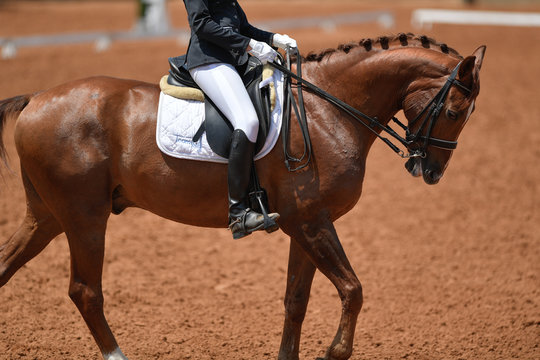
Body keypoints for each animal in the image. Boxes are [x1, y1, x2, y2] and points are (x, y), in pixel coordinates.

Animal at [0, 34, 488, 360]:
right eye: (454, 111)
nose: (431, 172)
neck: (327, 109)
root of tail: (36, 99)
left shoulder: (307, 223)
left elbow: (296, 301)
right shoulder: (311, 222)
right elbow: (353, 289)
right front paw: (335, 352)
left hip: (46, 217)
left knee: (9, 266)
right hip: (84, 218)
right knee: (86, 291)